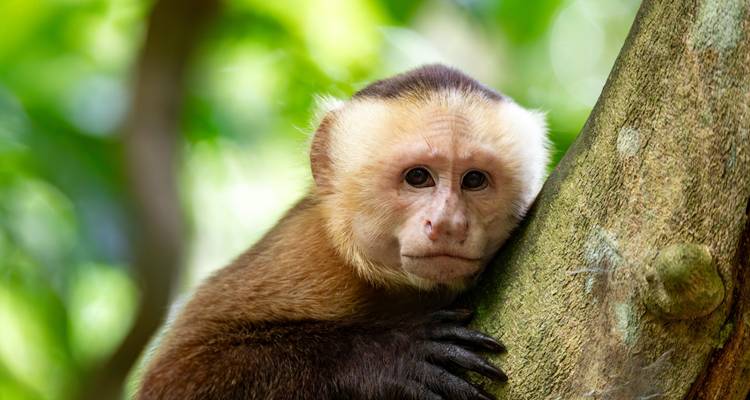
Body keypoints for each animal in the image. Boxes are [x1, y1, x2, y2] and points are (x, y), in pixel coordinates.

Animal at [136, 64, 549, 400]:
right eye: (418, 177)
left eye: (474, 180)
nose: (448, 223)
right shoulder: (308, 253)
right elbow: (174, 377)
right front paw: (390, 356)